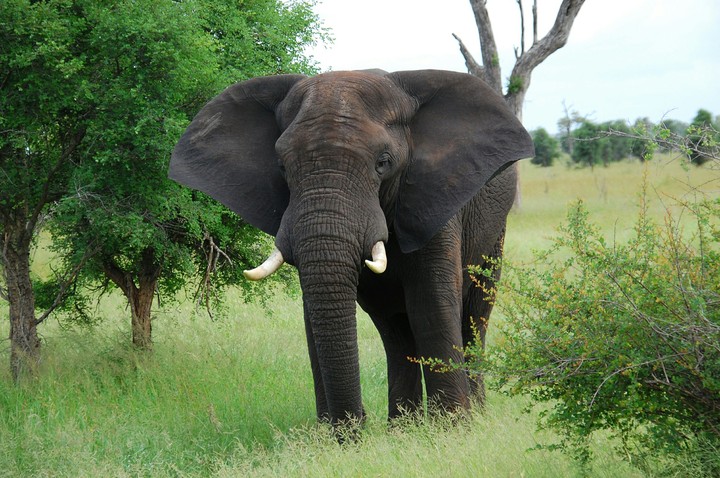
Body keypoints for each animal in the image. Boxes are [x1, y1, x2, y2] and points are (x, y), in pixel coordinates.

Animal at [169, 69, 534, 428]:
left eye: (383, 162)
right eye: (282, 167)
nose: (357, 423)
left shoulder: (433, 198)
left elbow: (430, 303)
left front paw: (453, 430)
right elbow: (314, 315)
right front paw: (334, 437)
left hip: (494, 233)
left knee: (471, 316)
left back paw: (471, 417)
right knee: (394, 327)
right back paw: (404, 427)